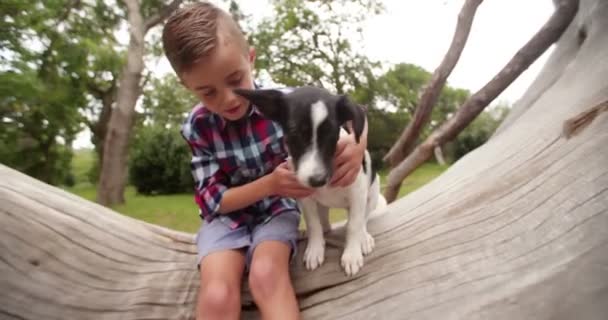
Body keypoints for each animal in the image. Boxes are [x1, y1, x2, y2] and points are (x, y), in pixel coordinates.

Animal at [235, 86, 388, 276]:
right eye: (294, 133)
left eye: (331, 134)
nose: (317, 180)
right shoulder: (305, 198)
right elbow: (313, 224)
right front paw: (315, 249)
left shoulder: (357, 192)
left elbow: (354, 224)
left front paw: (352, 254)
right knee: (324, 222)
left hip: (372, 195)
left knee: (363, 219)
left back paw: (364, 237)